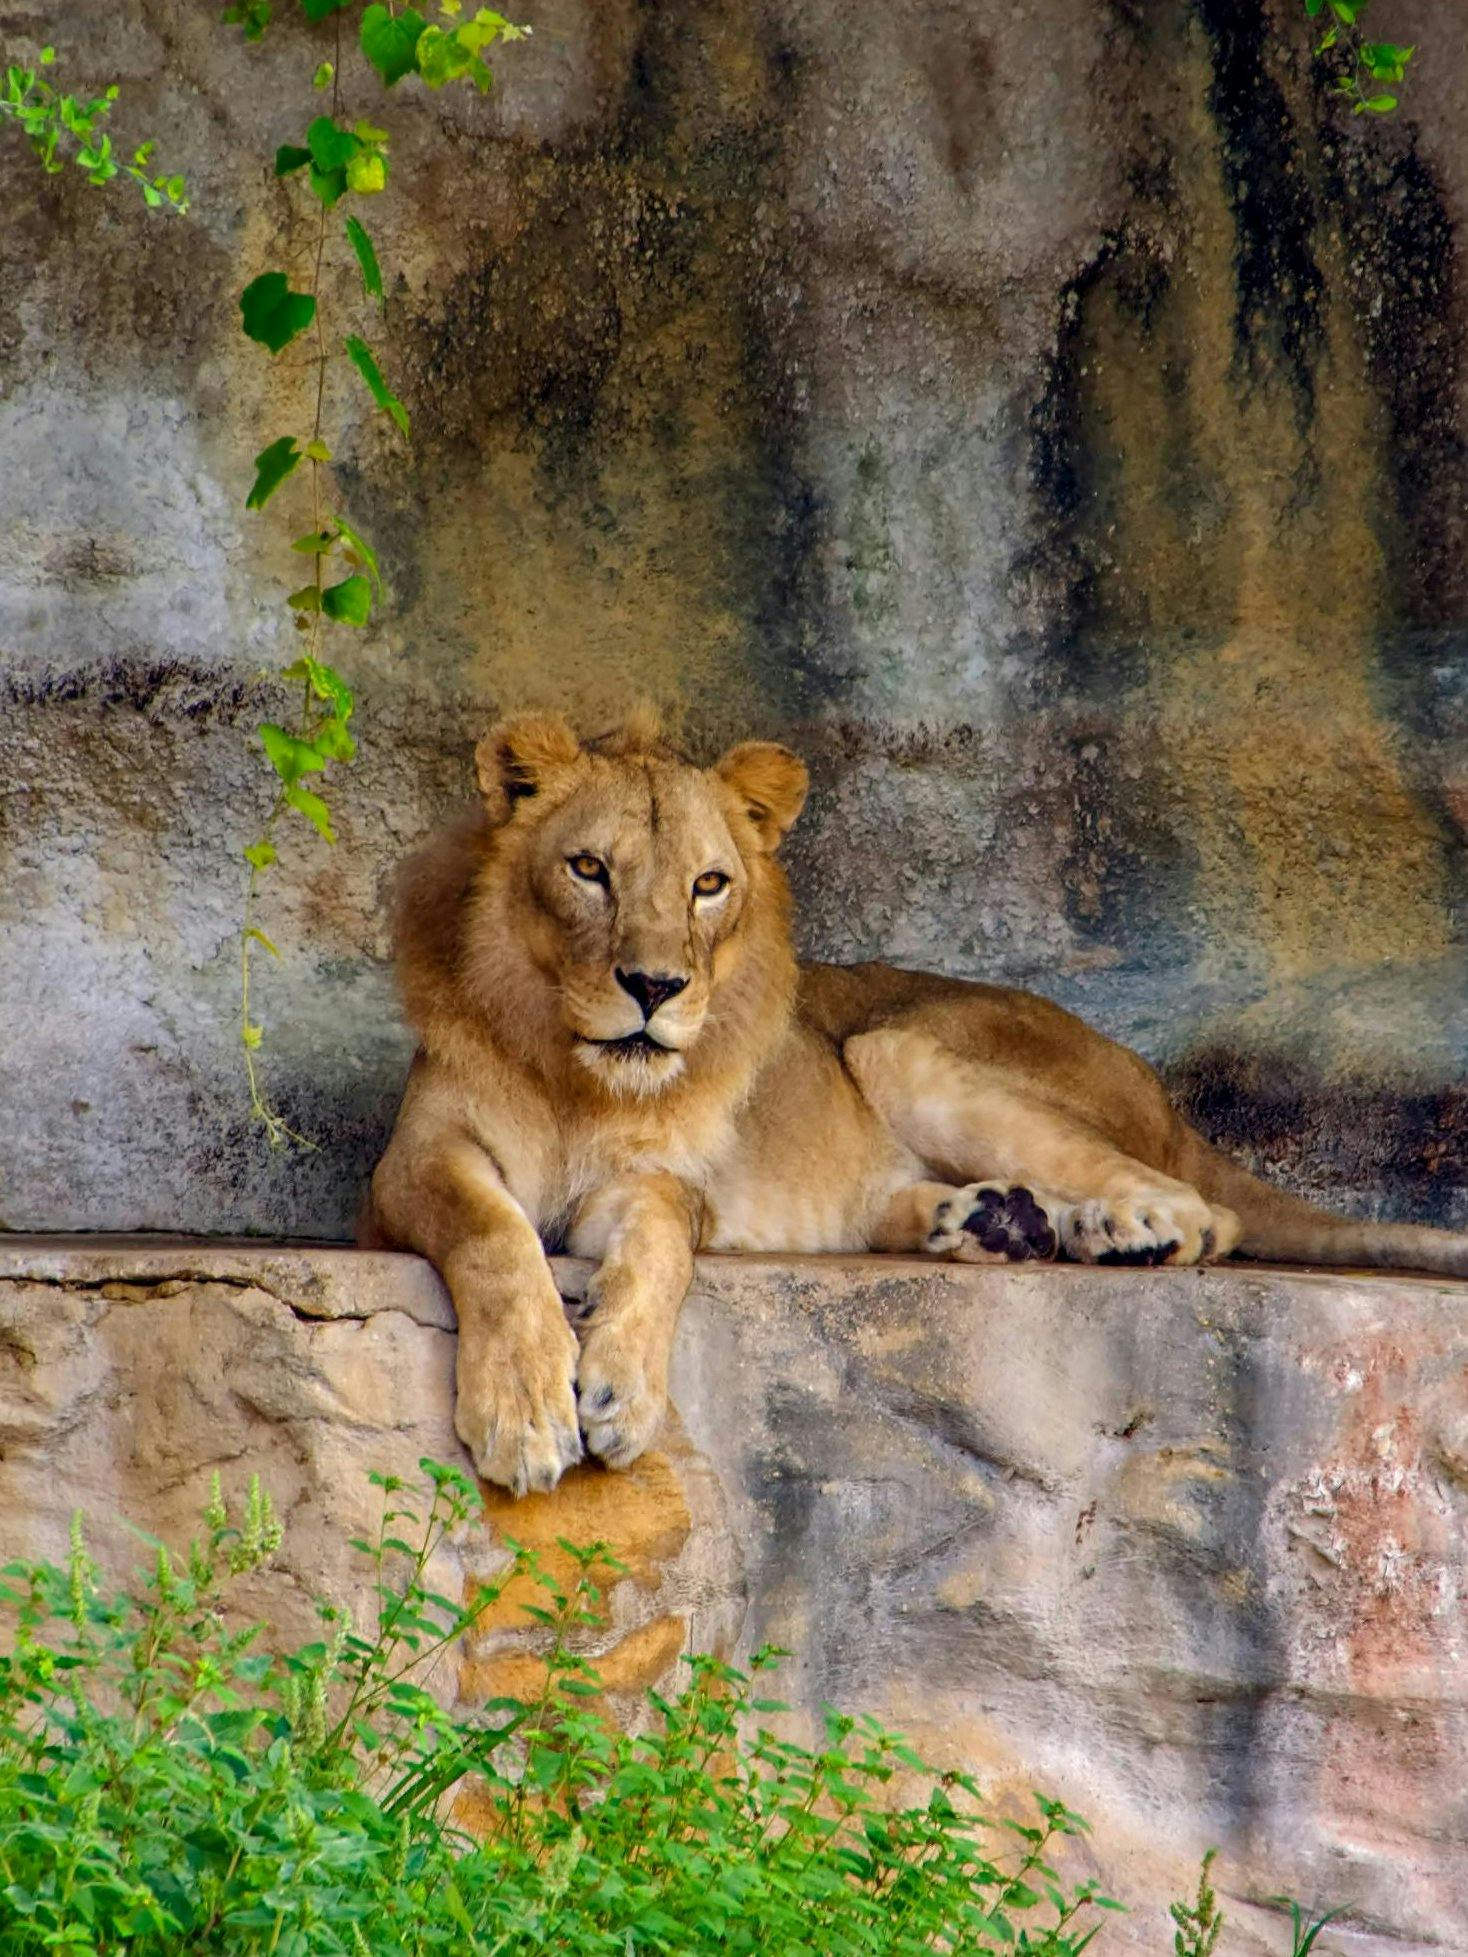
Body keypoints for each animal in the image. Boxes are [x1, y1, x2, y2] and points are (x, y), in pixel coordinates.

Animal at [366, 709, 1468, 1496]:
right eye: (589, 869)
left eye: (708, 885)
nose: (653, 986)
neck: (579, 1080)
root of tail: (1161, 1088)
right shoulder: (406, 1167)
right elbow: (495, 1238)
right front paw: (524, 1409)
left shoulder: (665, 1184)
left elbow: (659, 1250)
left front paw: (615, 1392)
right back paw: (1002, 1220)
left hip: (895, 1047)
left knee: (1210, 1211)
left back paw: (1121, 1230)